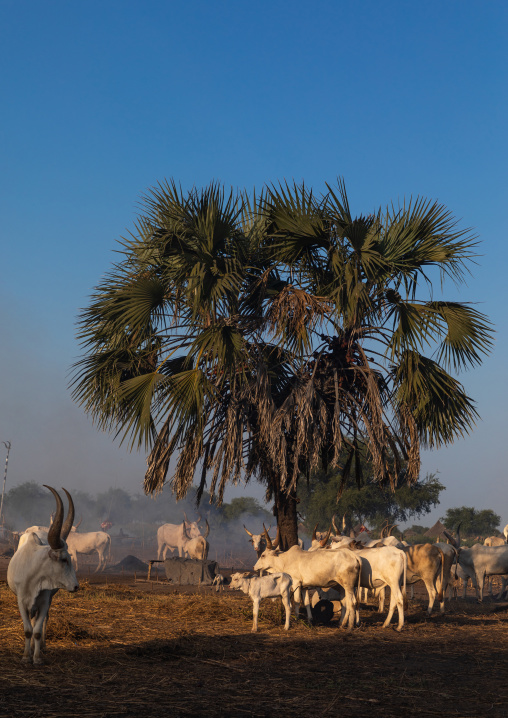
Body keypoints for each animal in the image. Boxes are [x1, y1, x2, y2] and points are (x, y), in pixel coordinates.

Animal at [7, 486, 79, 664]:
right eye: (64, 559)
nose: (76, 586)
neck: (33, 576)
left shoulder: (44, 600)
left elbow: (38, 630)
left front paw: (37, 657)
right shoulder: (21, 601)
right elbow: (28, 629)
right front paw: (26, 656)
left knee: (44, 619)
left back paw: (41, 647)